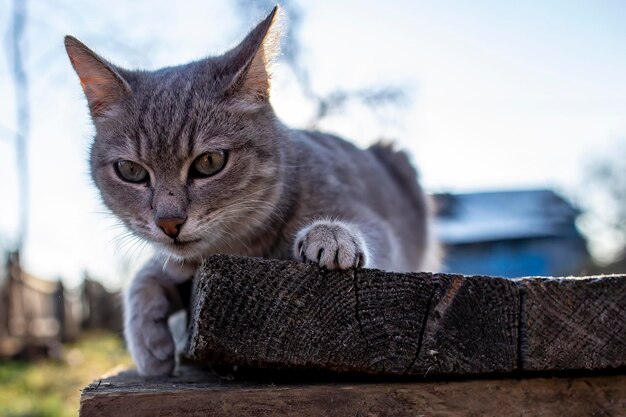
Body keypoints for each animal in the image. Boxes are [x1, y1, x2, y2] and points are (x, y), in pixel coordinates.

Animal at [62, 5, 434, 376]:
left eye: (210, 161)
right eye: (131, 171)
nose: (169, 223)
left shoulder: (372, 222)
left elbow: (365, 234)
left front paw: (332, 237)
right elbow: (143, 278)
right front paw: (150, 348)